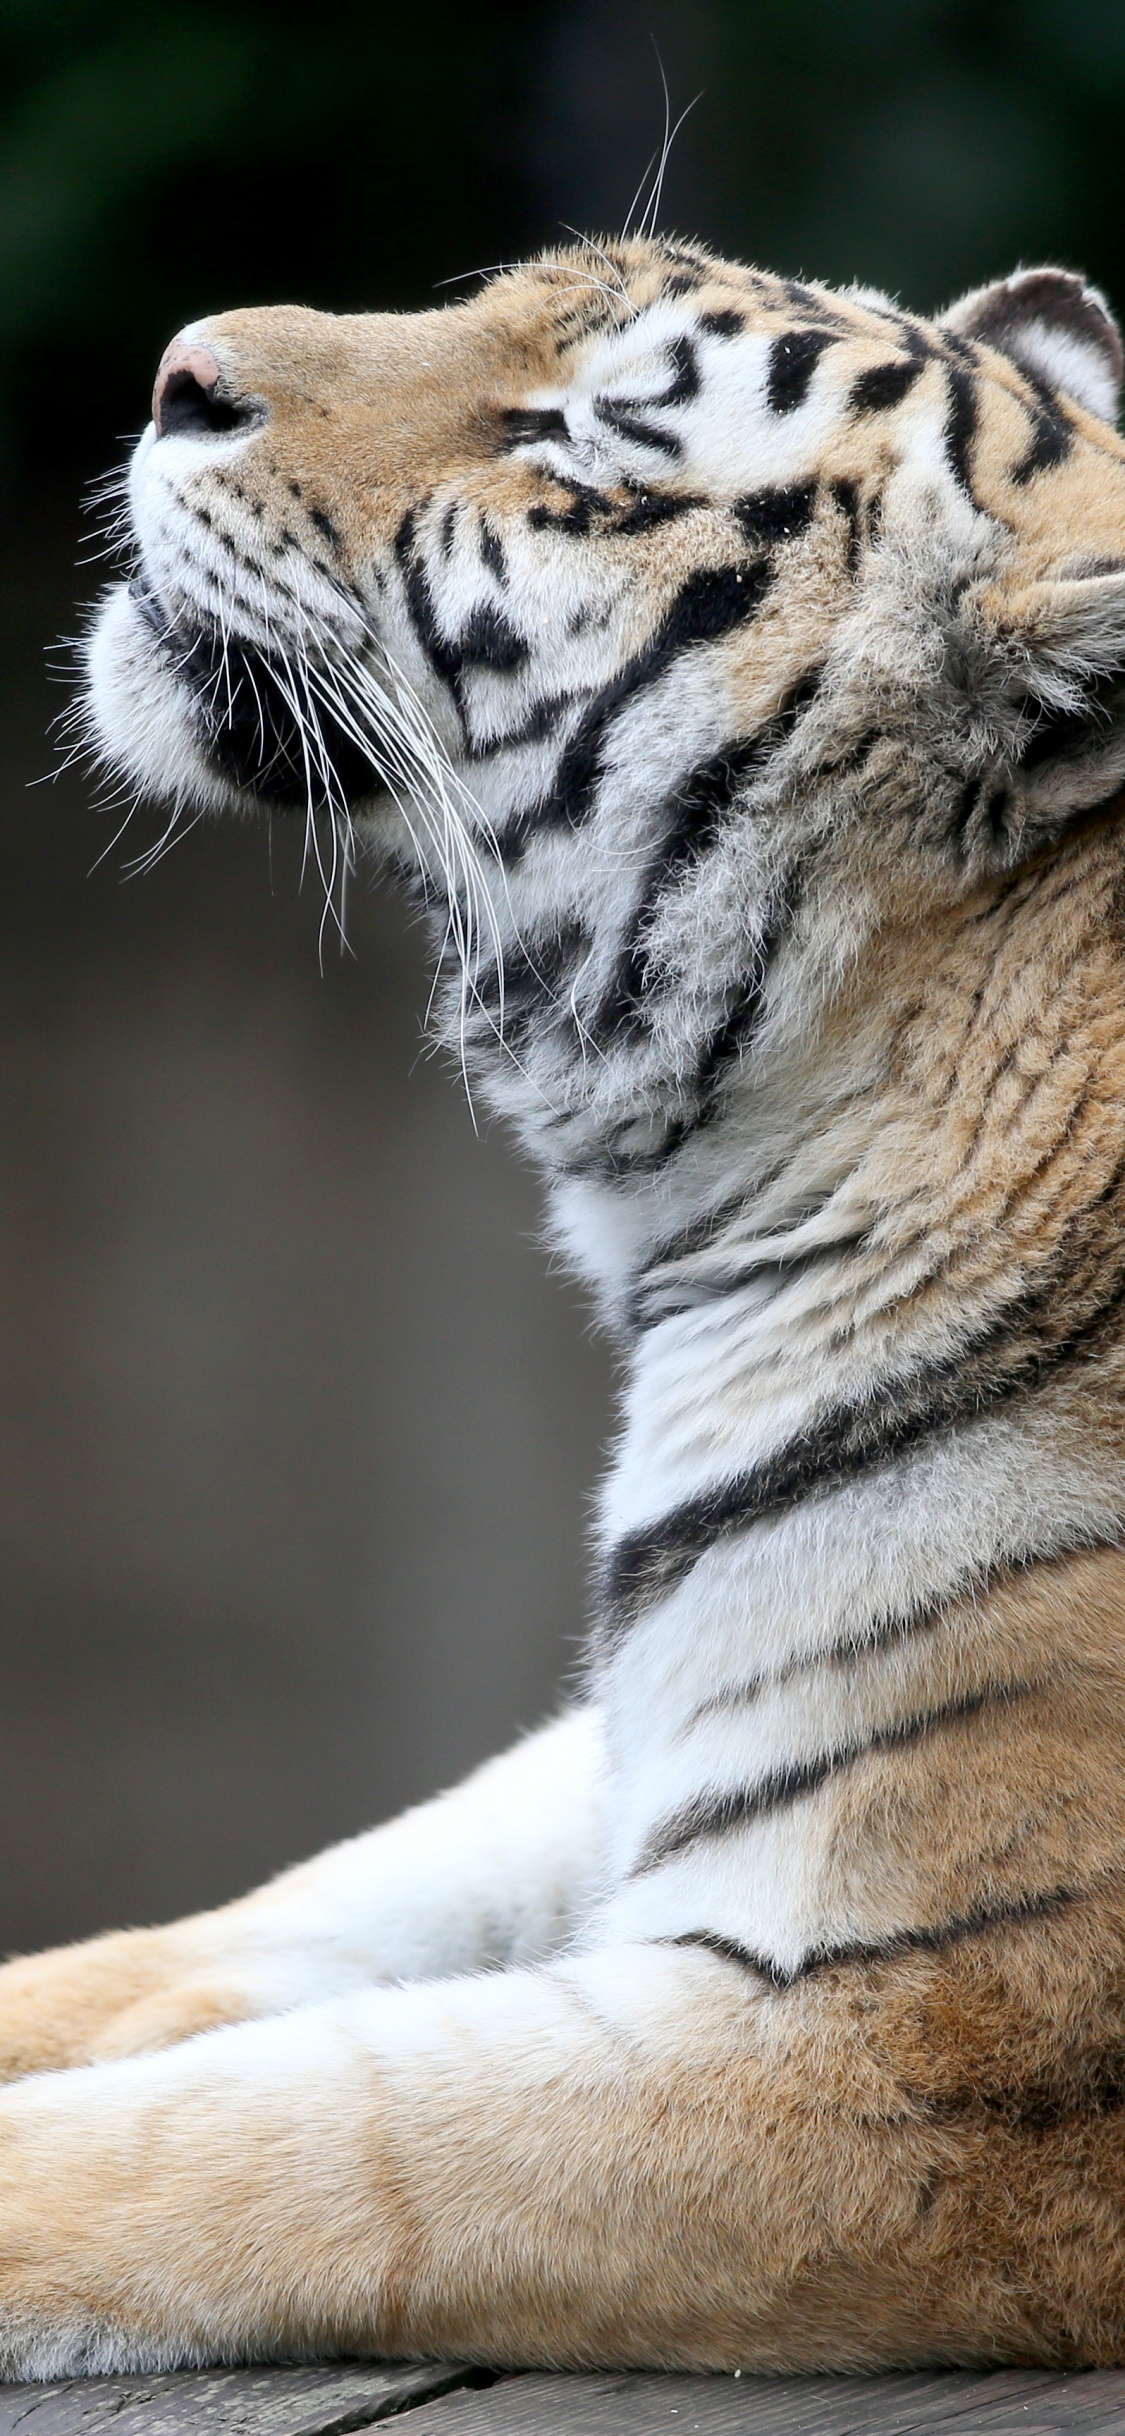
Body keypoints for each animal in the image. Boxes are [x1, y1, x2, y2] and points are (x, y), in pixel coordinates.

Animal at [2, 234, 1125, 2378]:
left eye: (588, 451)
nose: (178, 373)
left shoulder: (916, 2044)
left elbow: (311, 2135)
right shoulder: (640, 1737)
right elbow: (280, 1917)